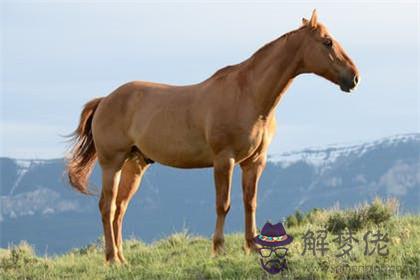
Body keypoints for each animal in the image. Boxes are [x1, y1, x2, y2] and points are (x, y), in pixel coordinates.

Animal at [65, 9, 358, 264]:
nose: (354, 78)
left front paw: (252, 247)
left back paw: (122, 258)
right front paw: (218, 249)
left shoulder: (254, 162)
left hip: (134, 165)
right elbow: (223, 204)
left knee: (119, 209)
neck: (249, 95)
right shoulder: (224, 160)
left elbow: (250, 202)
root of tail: (105, 100)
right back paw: (112, 259)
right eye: (327, 42)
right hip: (111, 163)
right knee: (107, 207)